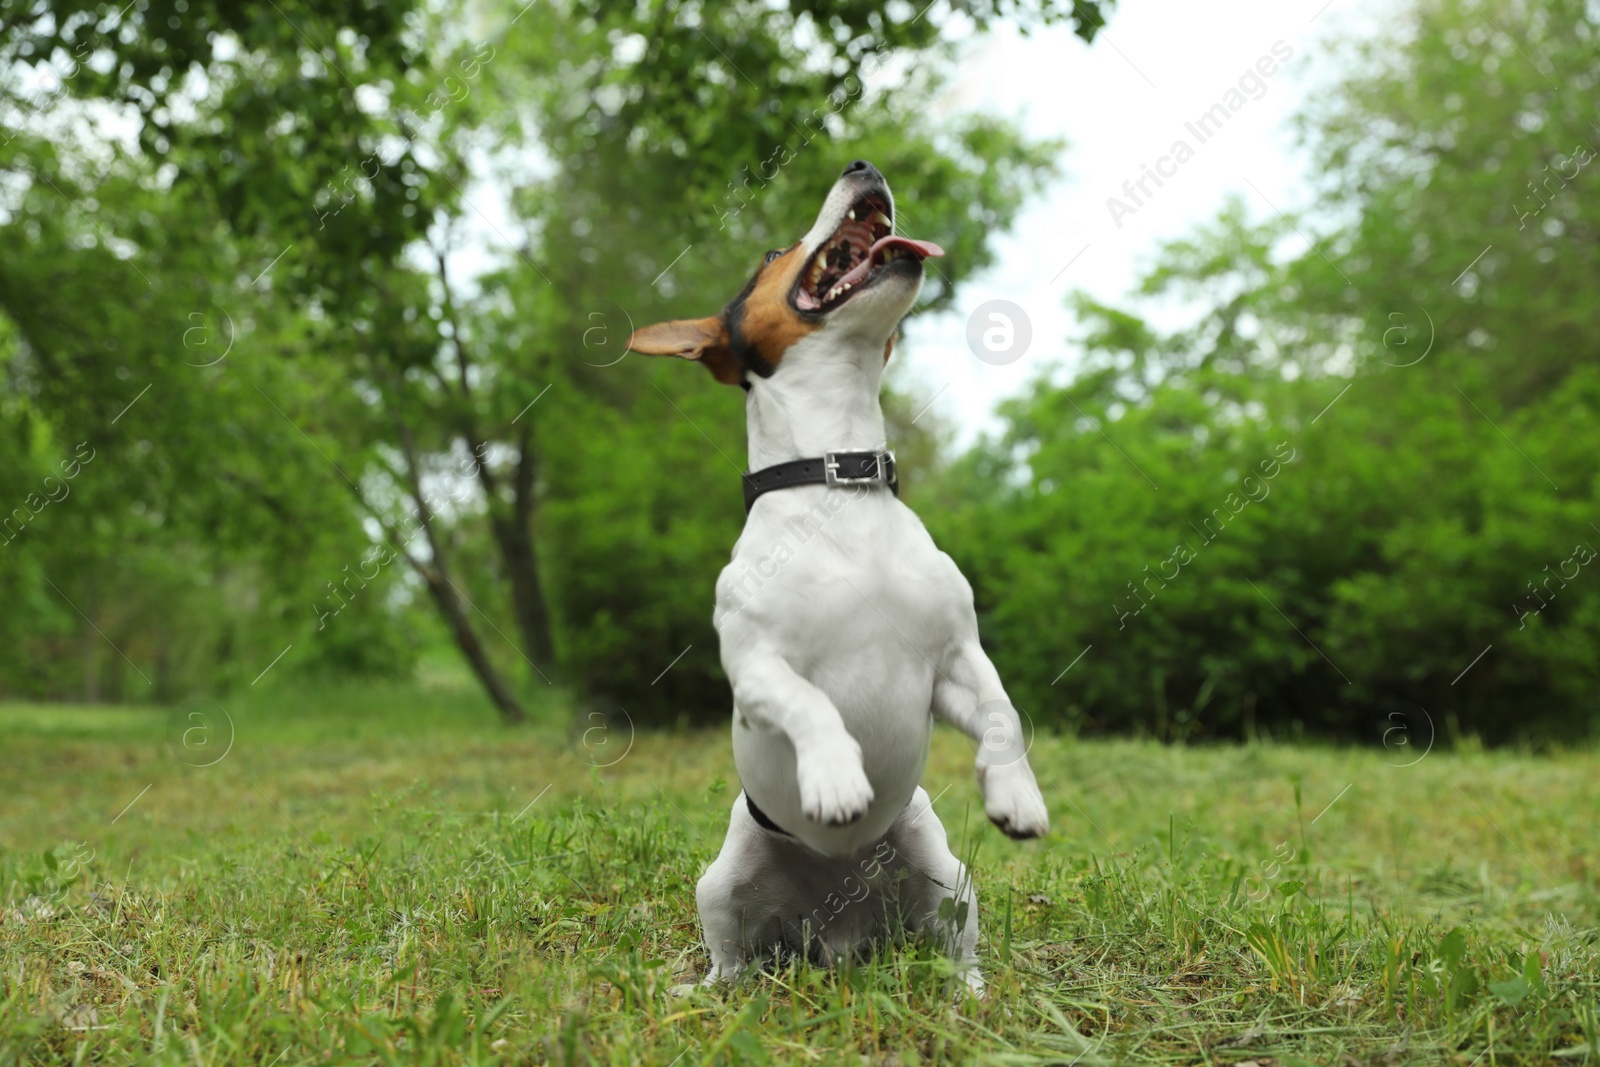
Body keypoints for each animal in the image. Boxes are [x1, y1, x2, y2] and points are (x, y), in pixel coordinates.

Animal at [624, 158, 1049, 991]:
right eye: (770, 253)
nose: (863, 165)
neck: (838, 478)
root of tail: (839, 927)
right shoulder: (756, 667)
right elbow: (810, 702)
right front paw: (835, 776)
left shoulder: (954, 660)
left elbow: (1002, 712)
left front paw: (1016, 792)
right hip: (720, 884)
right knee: (732, 963)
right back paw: (701, 990)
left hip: (947, 876)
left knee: (957, 949)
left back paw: (970, 993)